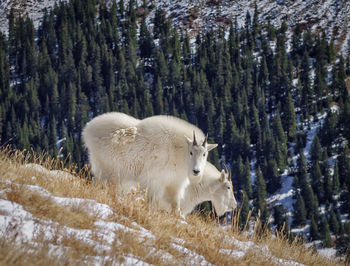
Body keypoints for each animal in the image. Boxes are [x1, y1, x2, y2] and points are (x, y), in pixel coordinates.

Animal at [83, 112, 217, 214]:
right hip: (107, 167)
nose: (196, 171)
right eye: (191, 152)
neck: (178, 152)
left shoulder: (174, 182)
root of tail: (88, 128)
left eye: (204, 154)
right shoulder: (153, 179)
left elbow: (175, 203)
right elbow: (152, 199)